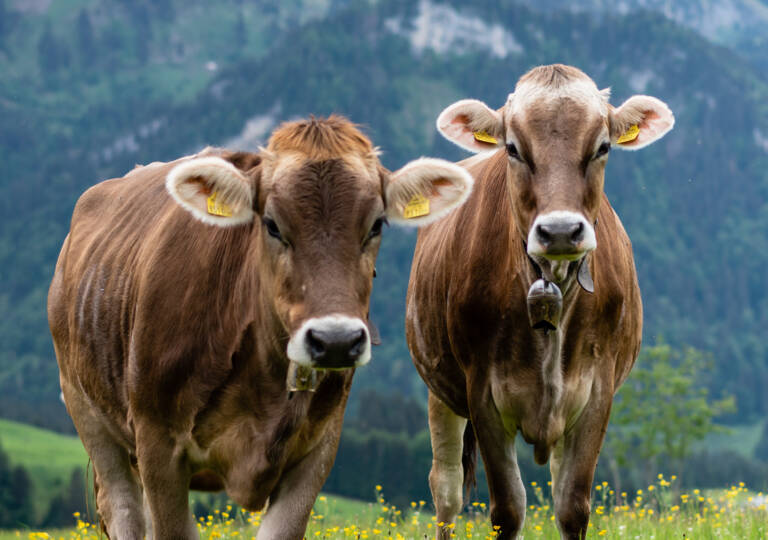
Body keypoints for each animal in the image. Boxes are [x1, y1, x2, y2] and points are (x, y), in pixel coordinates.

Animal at [49, 116, 474, 536]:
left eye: (376, 224)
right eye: (271, 224)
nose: (335, 341)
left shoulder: (318, 448)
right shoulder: (157, 442)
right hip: (87, 410)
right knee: (123, 507)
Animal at [404, 64, 676, 540]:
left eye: (602, 146)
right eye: (513, 148)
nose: (562, 231)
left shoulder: (597, 391)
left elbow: (571, 506)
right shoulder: (482, 393)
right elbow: (508, 509)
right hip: (440, 390)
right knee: (446, 490)